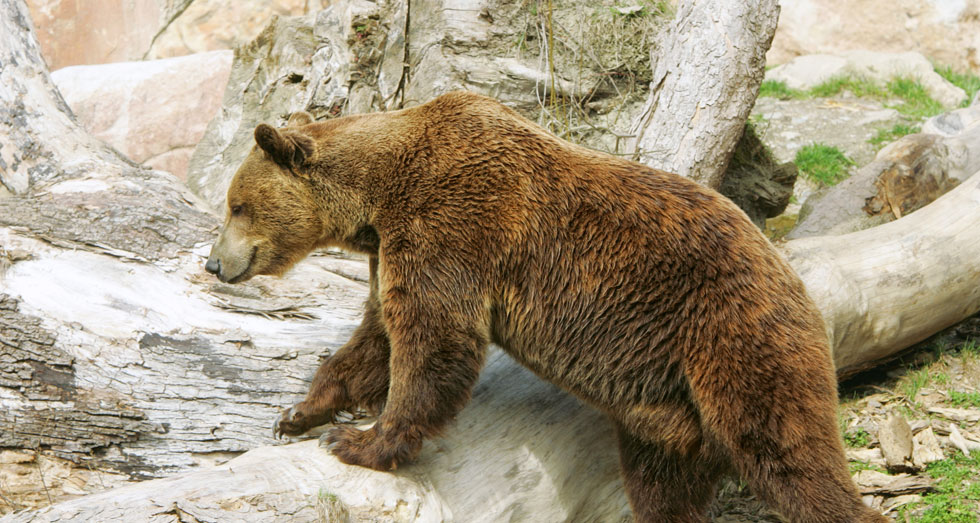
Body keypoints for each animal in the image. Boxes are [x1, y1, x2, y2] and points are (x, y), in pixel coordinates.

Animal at [205, 92, 888, 520]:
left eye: (237, 205)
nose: (214, 263)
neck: (380, 197)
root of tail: (794, 277)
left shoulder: (452, 225)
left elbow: (432, 342)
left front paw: (361, 441)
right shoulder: (396, 249)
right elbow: (374, 339)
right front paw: (301, 412)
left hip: (733, 336)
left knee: (791, 457)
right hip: (666, 413)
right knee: (664, 488)